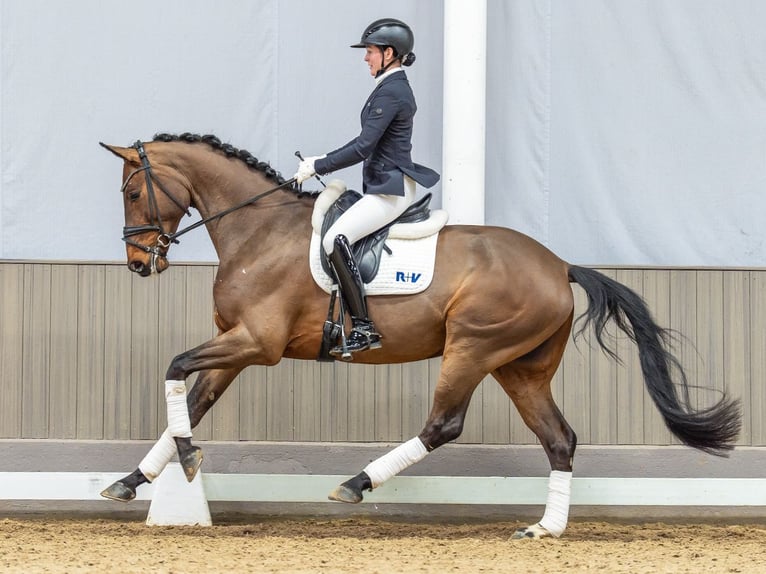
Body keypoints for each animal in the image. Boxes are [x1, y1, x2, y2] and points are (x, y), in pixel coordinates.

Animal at [99, 132, 740, 539]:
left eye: (131, 192)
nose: (138, 263)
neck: (259, 231)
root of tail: (560, 265)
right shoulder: (237, 345)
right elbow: (193, 399)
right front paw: (133, 480)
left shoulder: (259, 343)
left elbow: (175, 368)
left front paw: (184, 461)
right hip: (520, 366)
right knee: (559, 439)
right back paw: (544, 529)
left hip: (473, 348)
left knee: (444, 425)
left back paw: (355, 485)